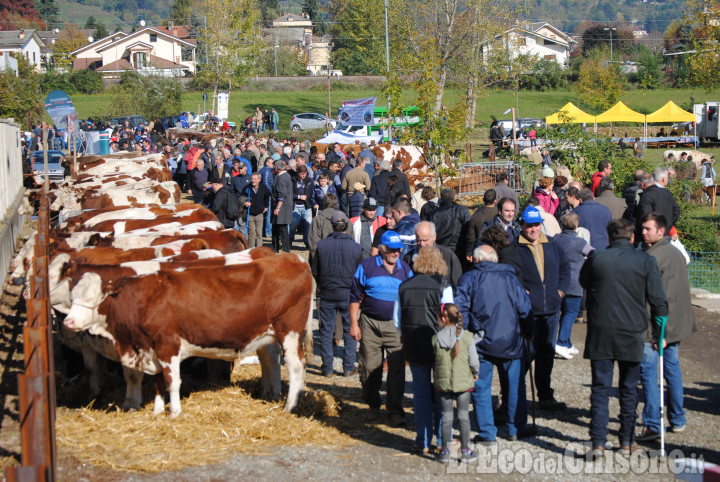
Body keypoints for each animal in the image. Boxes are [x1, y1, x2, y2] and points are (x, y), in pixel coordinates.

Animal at [63, 252, 308, 414]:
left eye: (94, 299)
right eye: (72, 295)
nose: (68, 321)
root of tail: (293, 257)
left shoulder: (168, 344)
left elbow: (172, 382)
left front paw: (174, 413)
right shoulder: (153, 349)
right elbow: (159, 382)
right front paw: (158, 412)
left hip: (290, 332)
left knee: (295, 367)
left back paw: (289, 405)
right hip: (268, 335)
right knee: (272, 361)